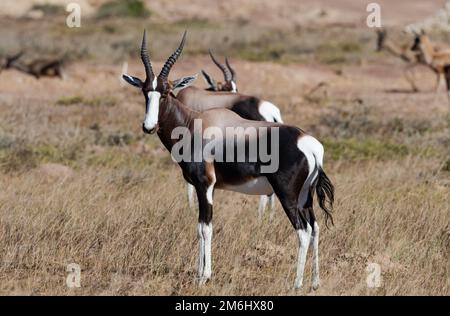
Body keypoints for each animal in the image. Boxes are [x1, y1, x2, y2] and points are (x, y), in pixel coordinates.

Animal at [178, 52, 284, 220]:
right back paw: (270, 217)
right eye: (227, 88)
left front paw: (191, 208)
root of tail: (270, 110)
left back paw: (260, 216)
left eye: (234, 87)